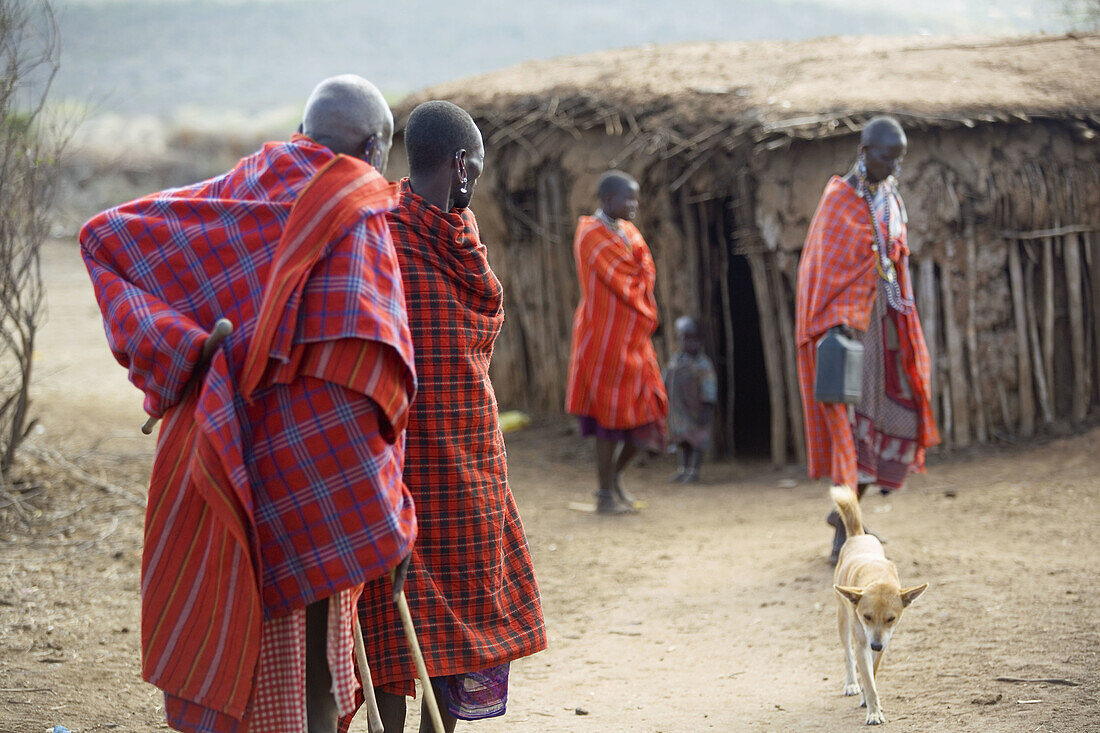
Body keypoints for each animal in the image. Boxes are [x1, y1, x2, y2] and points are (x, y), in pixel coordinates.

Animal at [831, 482, 928, 721]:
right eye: (866, 616)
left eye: (891, 619)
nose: (875, 645)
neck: (876, 576)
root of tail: (858, 535)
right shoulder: (862, 642)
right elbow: (866, 674)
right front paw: (873, 712)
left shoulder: (885, 640)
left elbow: (872, 674)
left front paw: (868, 699)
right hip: (842, 620)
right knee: (848, 654)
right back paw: (851, 683)